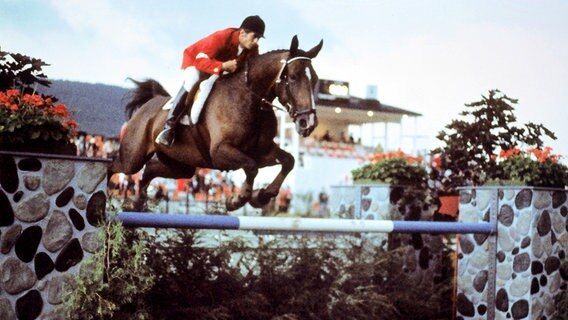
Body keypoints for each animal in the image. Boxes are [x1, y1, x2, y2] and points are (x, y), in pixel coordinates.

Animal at [110, 36, 324, 212]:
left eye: (314, 78)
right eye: (293, 77)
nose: (308, 123)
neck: (251, 100)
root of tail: (149, 104)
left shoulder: (262, 151)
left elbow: (288, 161)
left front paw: (262, 196)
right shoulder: (221, 152)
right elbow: (251, 166)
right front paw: (237, 200)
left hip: (181, 165)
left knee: (150, 169)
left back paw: (137, 203)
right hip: (132, 158)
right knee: (115, 167)